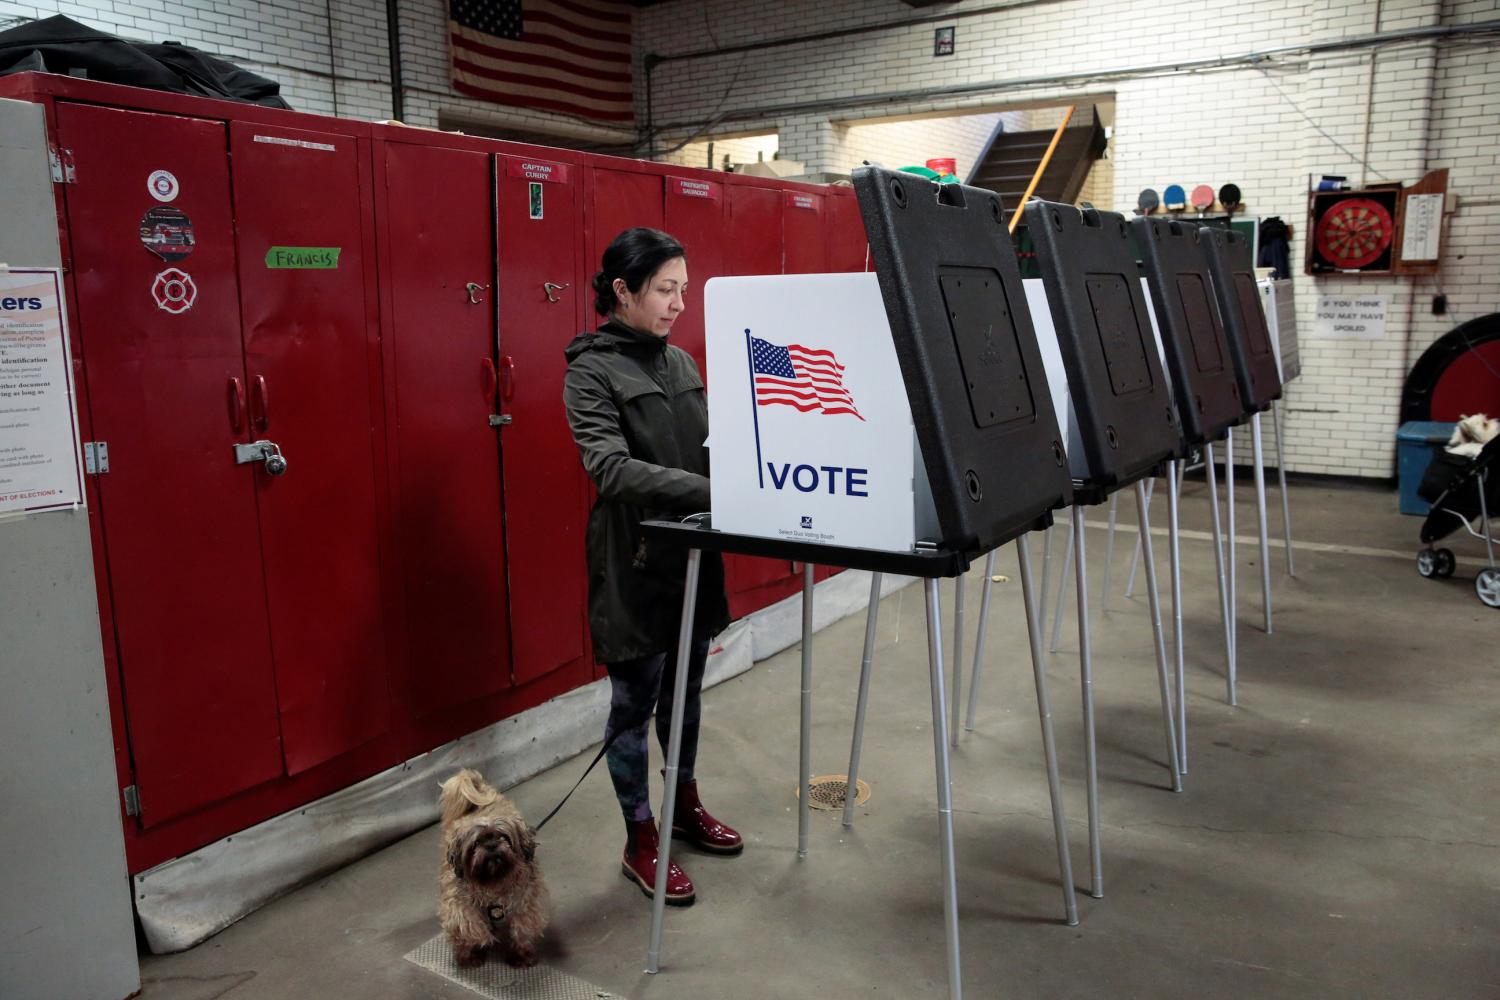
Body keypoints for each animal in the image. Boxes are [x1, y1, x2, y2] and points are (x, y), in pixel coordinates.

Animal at [438, 767, 549, 971]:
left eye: (503, 837)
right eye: (476, 843)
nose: (491, 845)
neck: (494, 882)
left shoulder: (525, 904)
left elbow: (522, 928)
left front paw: (521, 955)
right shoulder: (459, 904)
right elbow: (468, 926)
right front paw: (470, 954)